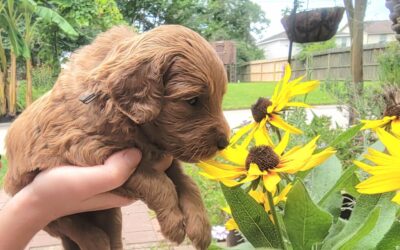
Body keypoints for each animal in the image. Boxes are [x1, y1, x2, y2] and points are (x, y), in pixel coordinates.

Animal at [3, 25, 230, 250]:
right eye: (192, 100)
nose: (224, 143)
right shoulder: (88, 151)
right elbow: (159, 181)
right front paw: (174, 224)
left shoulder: (167, 159)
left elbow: (186, 182)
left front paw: (200, 227)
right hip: (38, 199)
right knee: (69, 223)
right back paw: (94, 238)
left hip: (111, 217)